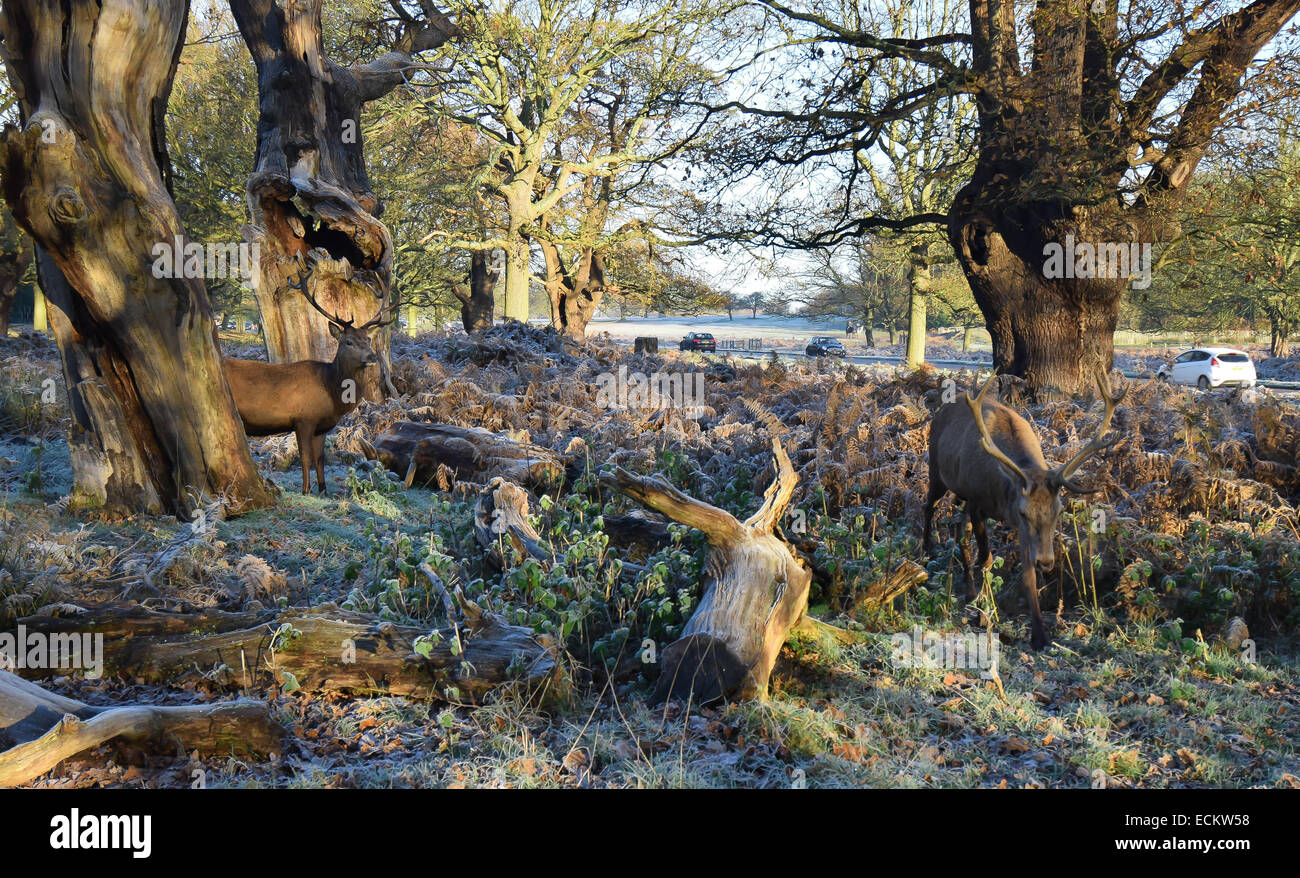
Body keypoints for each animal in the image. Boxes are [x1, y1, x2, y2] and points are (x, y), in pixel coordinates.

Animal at [224, 276, 396, 495]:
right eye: (348, 341)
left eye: (368, 339)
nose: (372, 357)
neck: (331, 390)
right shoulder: (303, 419)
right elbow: (306, 458)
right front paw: (305, 491)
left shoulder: (322, 426)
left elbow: (319, 459)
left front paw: (323, 490)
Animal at [923, 371, 1126, 650]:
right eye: (1023, 512)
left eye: (1058, 511)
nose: (1047, 562)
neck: (1002, 494)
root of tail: (942, 409)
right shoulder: (979, 503)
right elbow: (985, 559)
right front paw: (983, 615)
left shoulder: (1021, 529)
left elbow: (1028, 575)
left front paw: (1040, 634)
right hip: (936, 470)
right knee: (928, 507)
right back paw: (926, 552)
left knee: (959, 530)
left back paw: (969, 589)